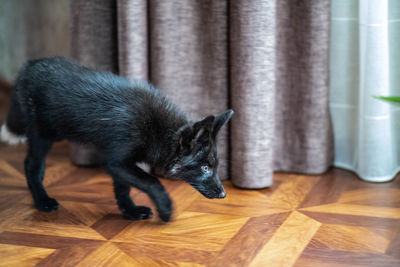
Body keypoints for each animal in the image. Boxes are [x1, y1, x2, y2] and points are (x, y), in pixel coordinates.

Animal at [0, 57, 233, 223]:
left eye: (215, 166)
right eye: (204, 167)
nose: (223, 195)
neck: (158, 129)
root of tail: (28, 67)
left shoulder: (122, 164)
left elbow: (123, 188)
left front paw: (129, 211)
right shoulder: (116, 161)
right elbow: (152, 182)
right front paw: (165, 209)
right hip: (44, 135)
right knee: (31, 165)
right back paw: (42, 201)